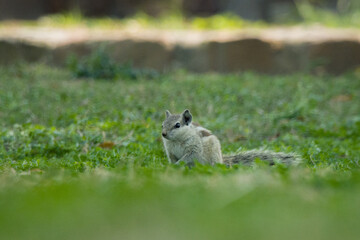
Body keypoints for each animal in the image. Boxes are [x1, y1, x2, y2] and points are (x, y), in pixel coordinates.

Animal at [161, 109, 300, 167]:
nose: (163, 134)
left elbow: (189, 156)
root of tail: (222, 161)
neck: (176, 140)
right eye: (162, 124)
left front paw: (178, 164)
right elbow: (173, 159)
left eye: (177, 125)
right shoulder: (170, 152)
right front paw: (171, 166)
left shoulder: (195, 148)